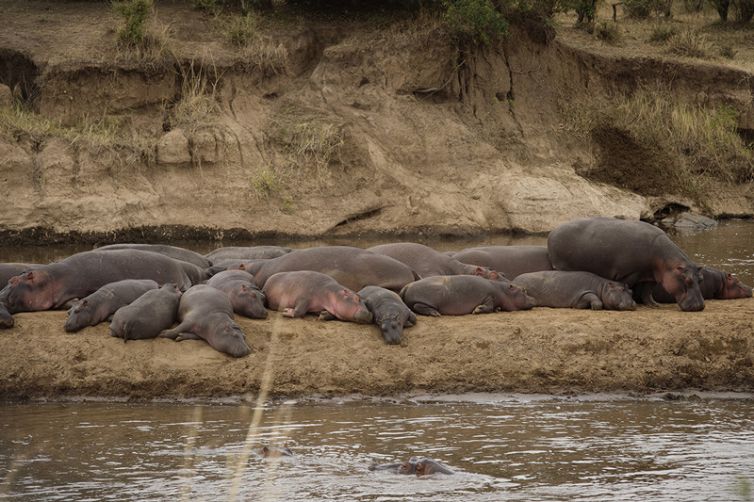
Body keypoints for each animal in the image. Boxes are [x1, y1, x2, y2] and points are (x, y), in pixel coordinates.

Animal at [400, 275, 535, 316]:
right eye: (524, 290)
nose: (534, 298)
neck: (503, 290)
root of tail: (407, 286)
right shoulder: (488, 296)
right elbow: (489, 306)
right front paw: (477, 309)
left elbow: (494, 307)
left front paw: (497, 309)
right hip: (428, 298)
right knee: (418, 306)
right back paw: (435, 313)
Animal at [547, 217, 705, 312]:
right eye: (687, 280)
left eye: (701, 279)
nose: (700, 306)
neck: (666, 261)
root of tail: (552, 232)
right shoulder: (630, 273)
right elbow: (629, 286)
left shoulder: (652, 276)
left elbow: (648, 292)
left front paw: (655, 305)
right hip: (563, 266)